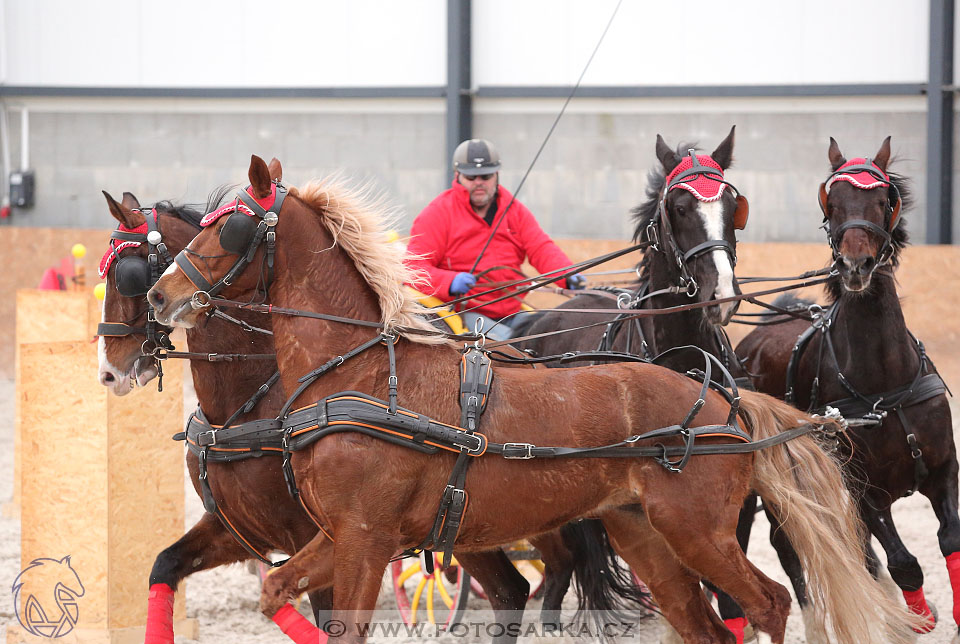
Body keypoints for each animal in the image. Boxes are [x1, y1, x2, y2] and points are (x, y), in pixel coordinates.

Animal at [98, 189, 552, 640]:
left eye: (127, 275)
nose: (108, 371)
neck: (247, 406)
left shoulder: (322, 534)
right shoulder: (237, 527)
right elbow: (164, 565)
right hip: (456, 522)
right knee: (509, 589)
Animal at [148, 156, 916, 644]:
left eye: (232, 227)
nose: (160, 292)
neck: (362, 375)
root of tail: (726, 403)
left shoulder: (363, 537)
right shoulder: (340, 535)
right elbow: (275, 590)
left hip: (697, 531)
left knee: (769, 602)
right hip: (645, 536)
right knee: (706, 625)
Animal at [740, 135, 956, 640]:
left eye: (881, 201)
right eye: (833, 202)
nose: (856, 266)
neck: (887, 385)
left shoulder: (943, 469)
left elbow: (949, 541)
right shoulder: (864, 490)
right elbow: (904, 564)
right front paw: (915, 620)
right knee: (786, 545)